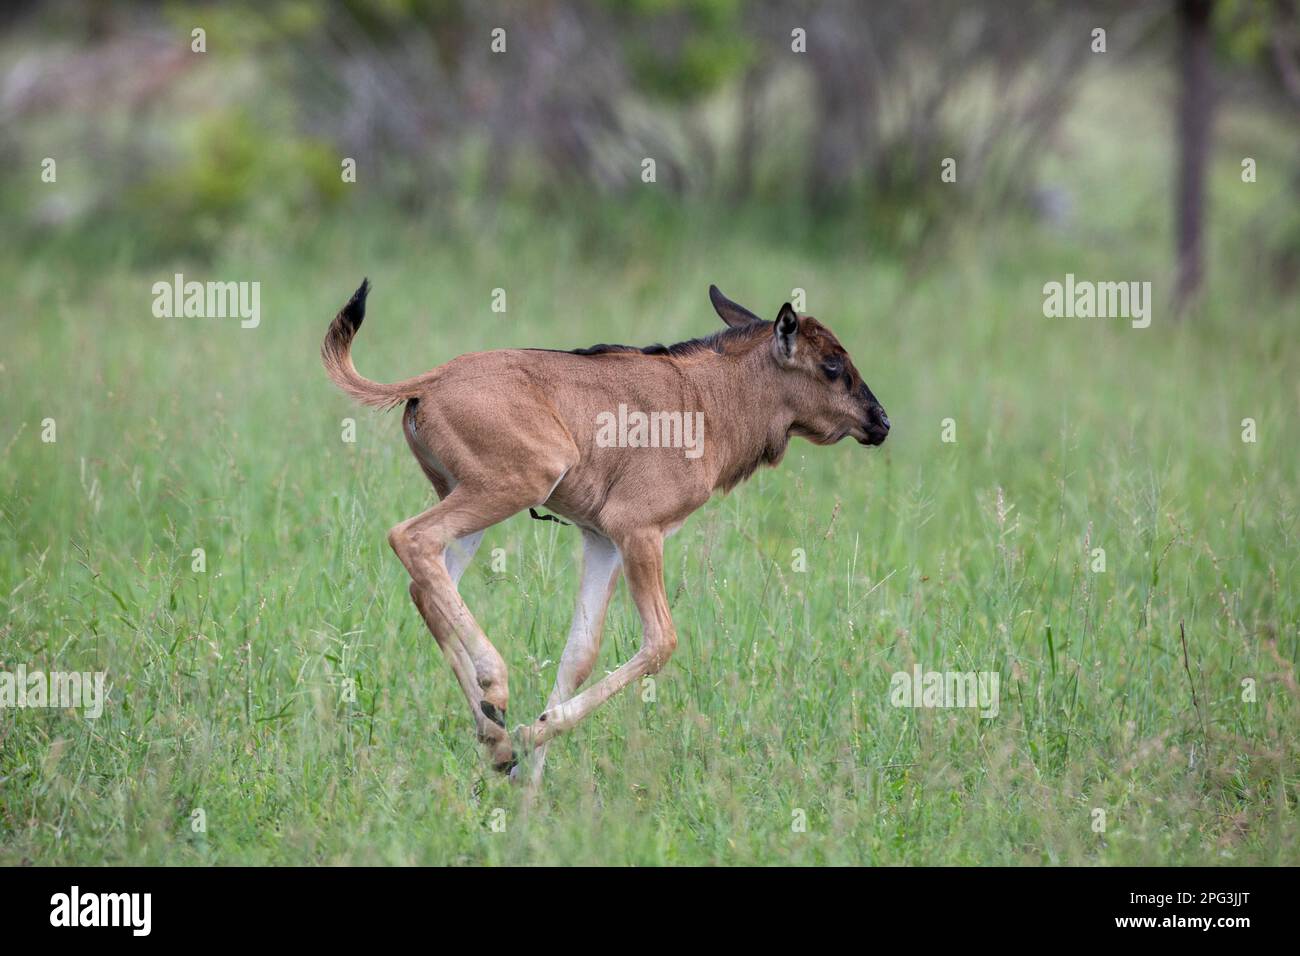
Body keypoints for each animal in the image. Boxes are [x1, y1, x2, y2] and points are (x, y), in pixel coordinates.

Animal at [322, 281, 890, 785]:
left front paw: (526, 771)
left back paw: (493, 733)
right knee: (410, 540)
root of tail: (428, 382)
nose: (881, 422)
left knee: (425, 583)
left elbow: (579, 654)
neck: (709, 400)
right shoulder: (639, 532)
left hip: (467, 499)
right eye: (832, 365)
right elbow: (661, 641)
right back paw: (497, 693)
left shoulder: (601, 540)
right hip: (512, 485)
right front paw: (527, 738)